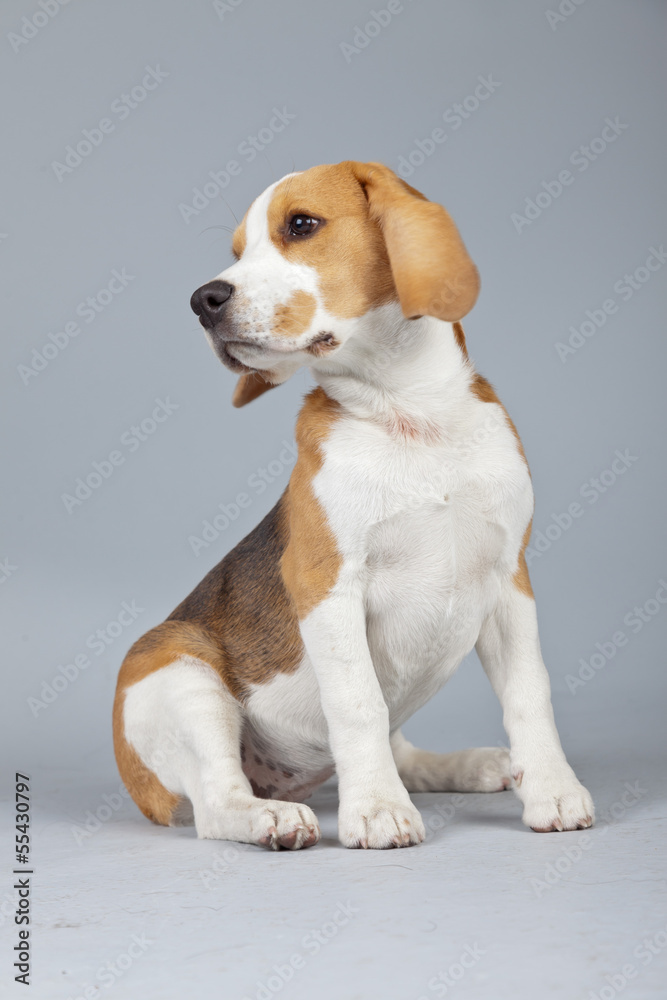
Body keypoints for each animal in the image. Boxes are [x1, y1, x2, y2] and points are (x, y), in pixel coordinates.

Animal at [113, 160, 596, 848]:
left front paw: (552, 790)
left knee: (401, 745)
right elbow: (358, 702)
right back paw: (269, 816)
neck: (410, 416)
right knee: (215, 804)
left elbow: (531, 693)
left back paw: (463, 766)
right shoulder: (325, 583)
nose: (203, 299)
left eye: (300, 225)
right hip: (184, 678)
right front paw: (378, 809)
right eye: (237, 253)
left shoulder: (510, 580)